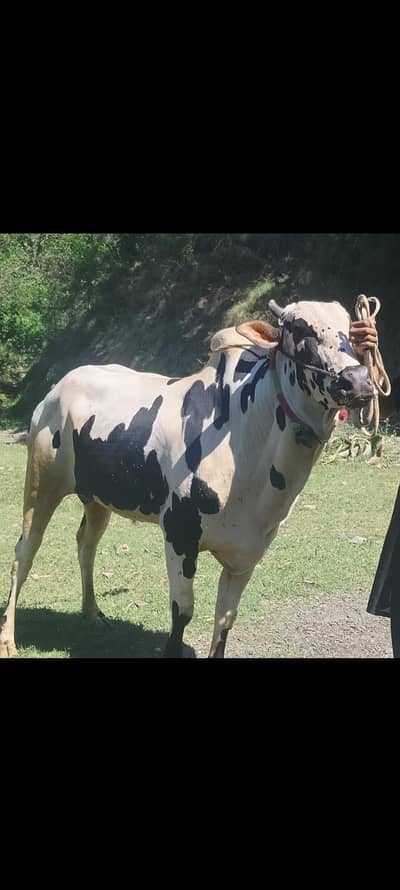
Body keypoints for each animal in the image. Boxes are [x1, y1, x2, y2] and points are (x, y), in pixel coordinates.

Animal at [0, 299, 374, 658]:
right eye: (298, 328)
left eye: (350, 330)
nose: (358, 380)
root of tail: (57, 388)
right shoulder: (179, 535)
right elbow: (182, 612)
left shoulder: (248, 554)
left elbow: (224, 621)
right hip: (41, 483)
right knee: (24, 553)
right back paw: (9, 639)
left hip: (97, 499)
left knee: (86, 545)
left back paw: (93, 612)